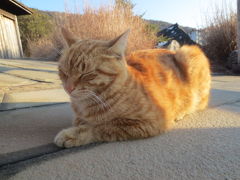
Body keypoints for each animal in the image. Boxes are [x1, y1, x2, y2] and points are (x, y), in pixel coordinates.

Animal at [54, 27, 210, 147]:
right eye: (64, 72)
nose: (68, 88)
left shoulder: (149, 122)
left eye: (87, 74)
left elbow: (101, 126)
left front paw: (73, 134)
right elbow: (81, 122)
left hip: (188, 54)